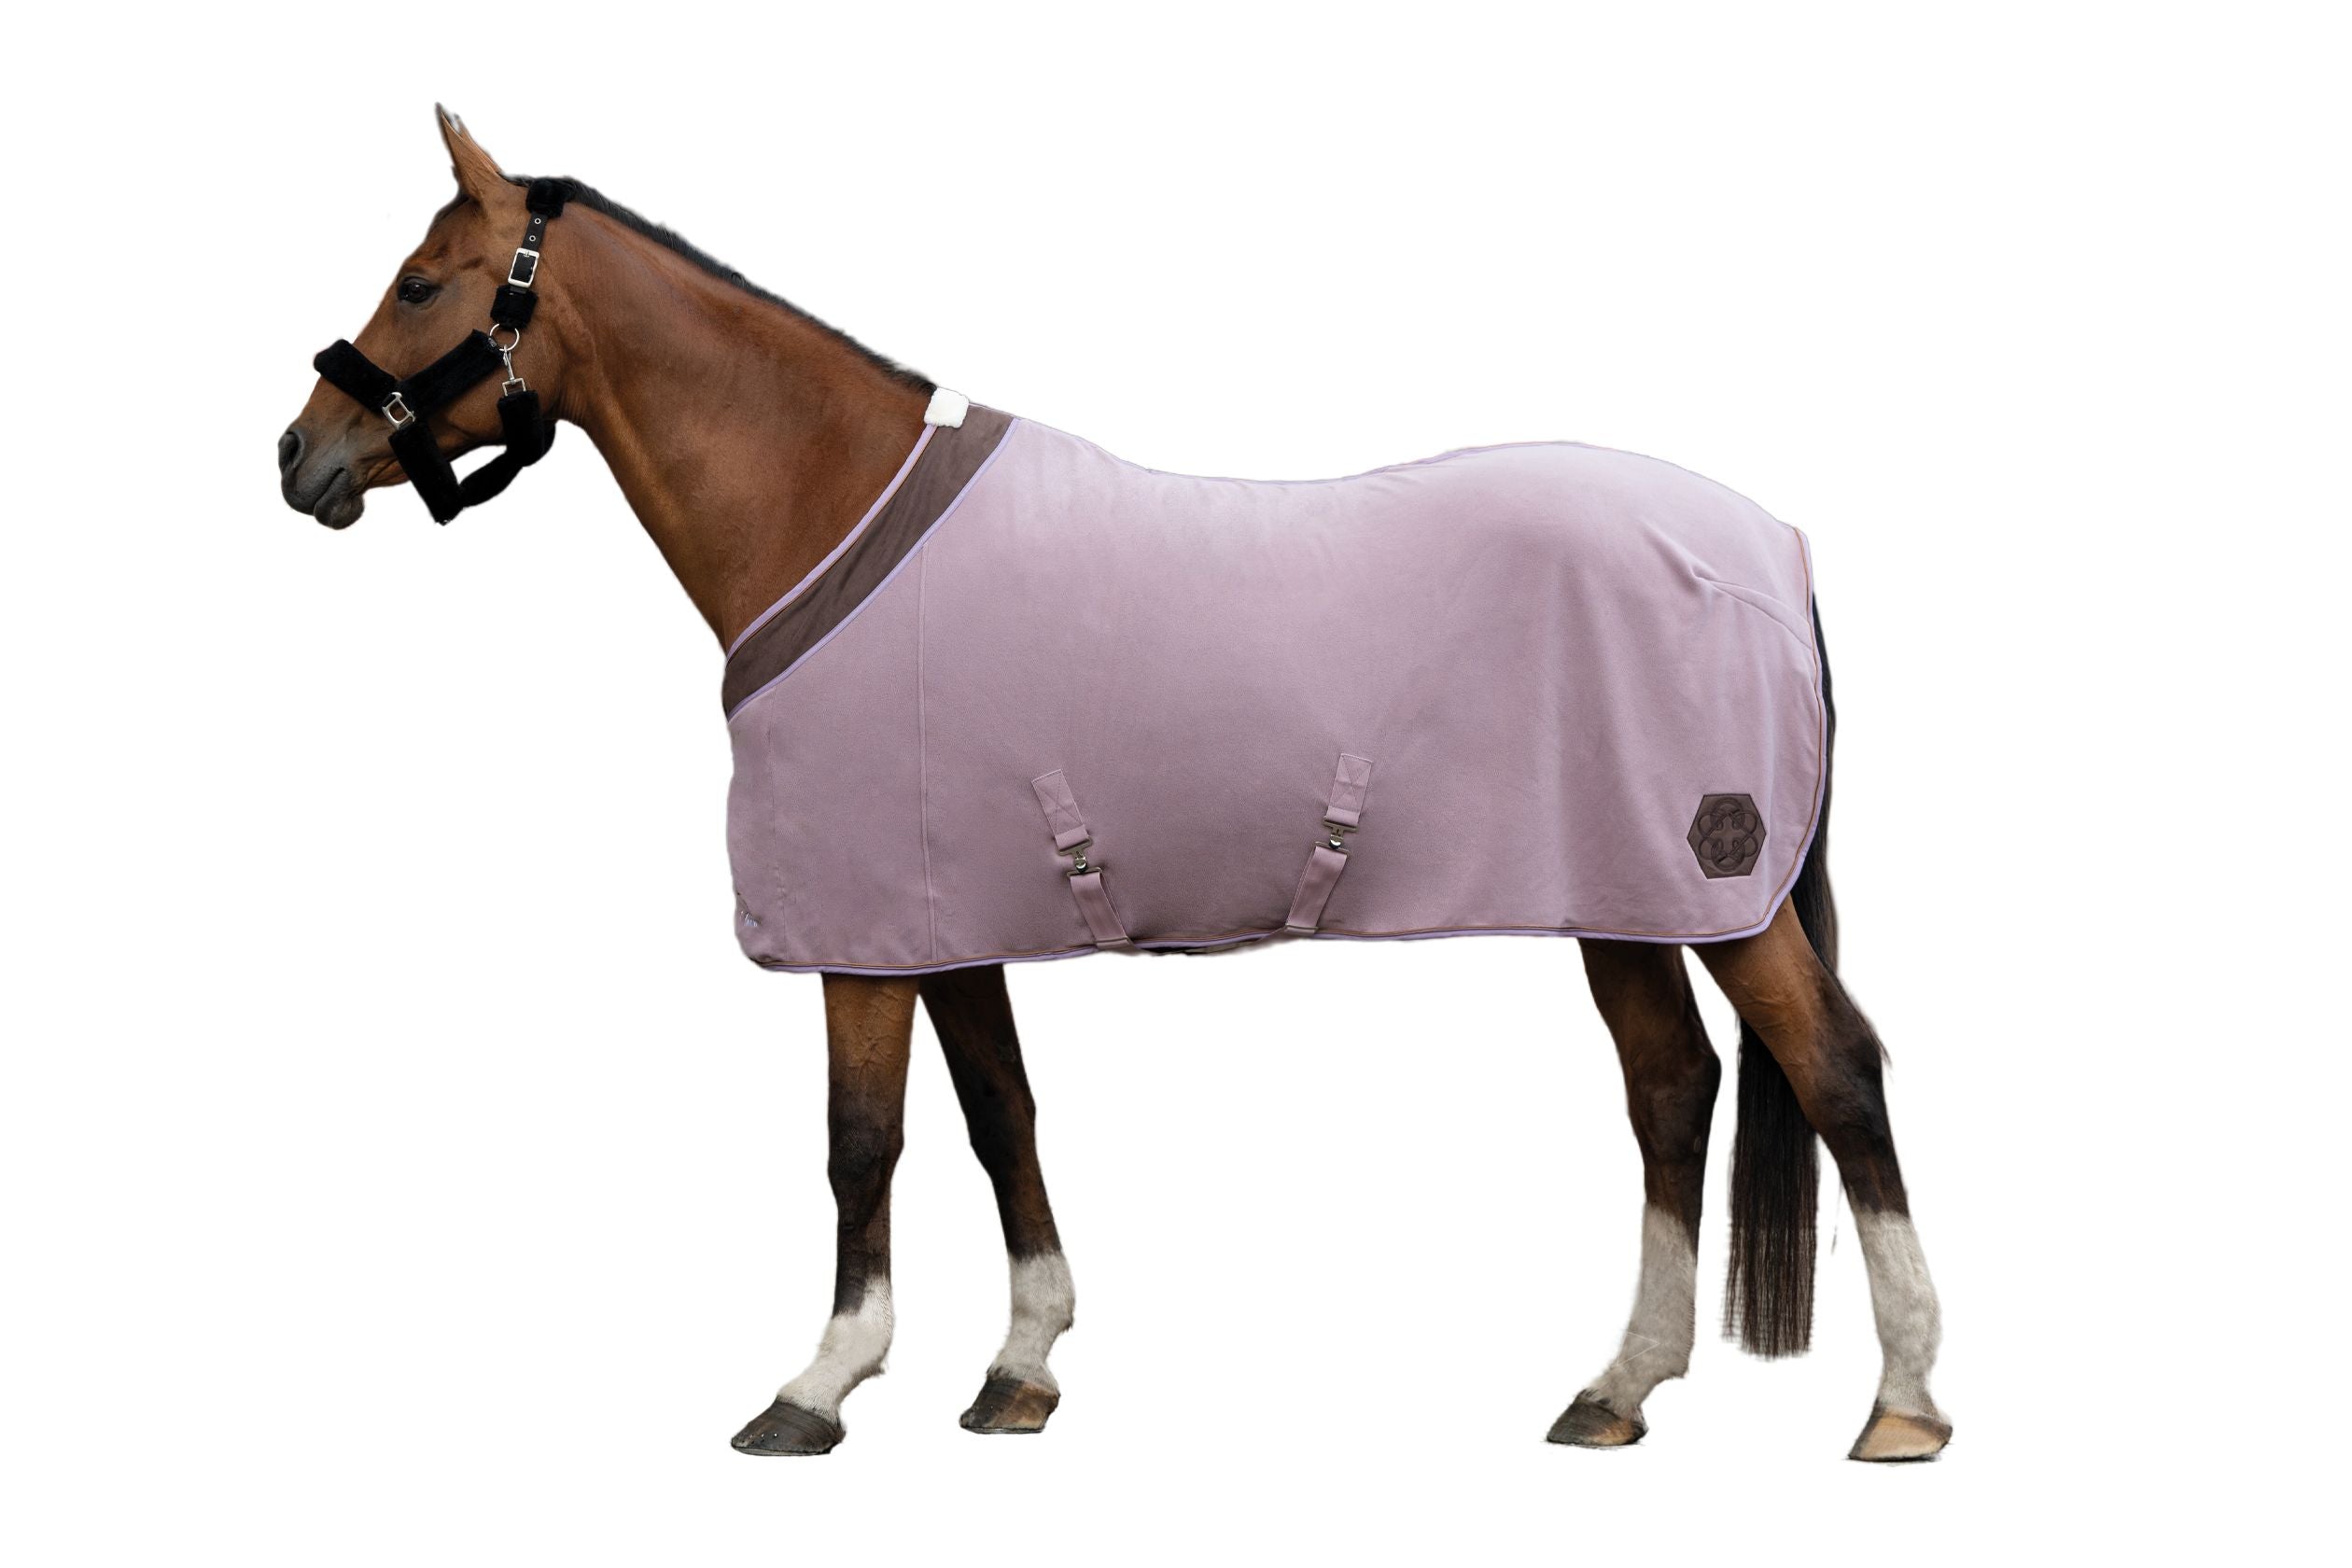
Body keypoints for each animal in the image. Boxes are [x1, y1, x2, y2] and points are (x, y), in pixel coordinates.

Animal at [278, 109, 1948, 1462]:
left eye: (421, 284)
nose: (303, 456)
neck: (831, 512)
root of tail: (1772, 546)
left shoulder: (860, 937)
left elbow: (860, 1142)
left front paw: (820, 1385)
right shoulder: (941, 924)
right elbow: (999, 1114)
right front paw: (1020, 1366)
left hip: (1721, 892)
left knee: (1837, 1074)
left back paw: (1904, 1404)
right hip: (1624, 899)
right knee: (1672, 1091)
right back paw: (1619, 1390)